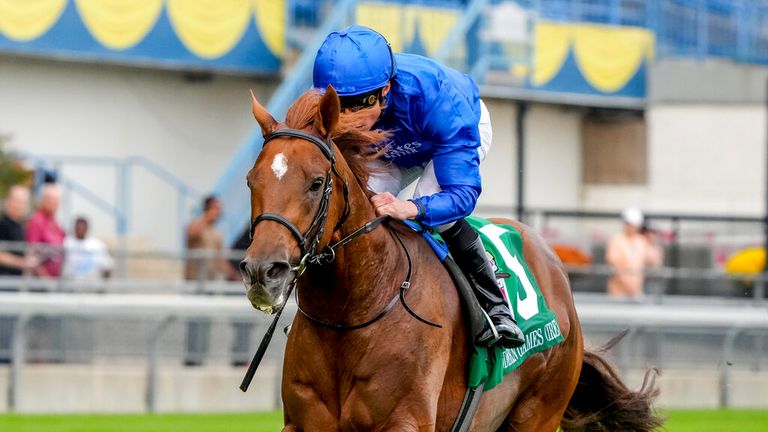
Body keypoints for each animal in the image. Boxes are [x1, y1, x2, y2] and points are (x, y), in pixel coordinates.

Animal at [242, 86, 660, 430]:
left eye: (316, 183)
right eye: (250, 180)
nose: (263, 271)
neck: (351, 312)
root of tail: (553, 263)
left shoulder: (405, 421)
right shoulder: (301, 423)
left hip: (540, 410)